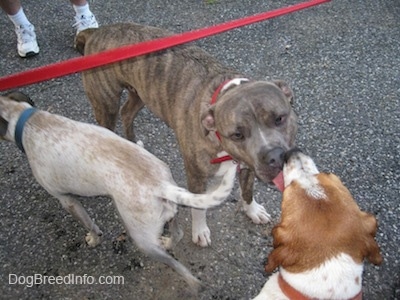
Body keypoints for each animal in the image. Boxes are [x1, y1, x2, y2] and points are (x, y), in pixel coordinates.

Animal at [0, 92, 236, 292]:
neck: (27, 120)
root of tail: (162, 184)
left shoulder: (66, 200)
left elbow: (90, 224)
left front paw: (94, 238)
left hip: (141, 237)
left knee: (178, 266)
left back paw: (195, 285)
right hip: (166, 213)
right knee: (176, 234)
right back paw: (168, 242)